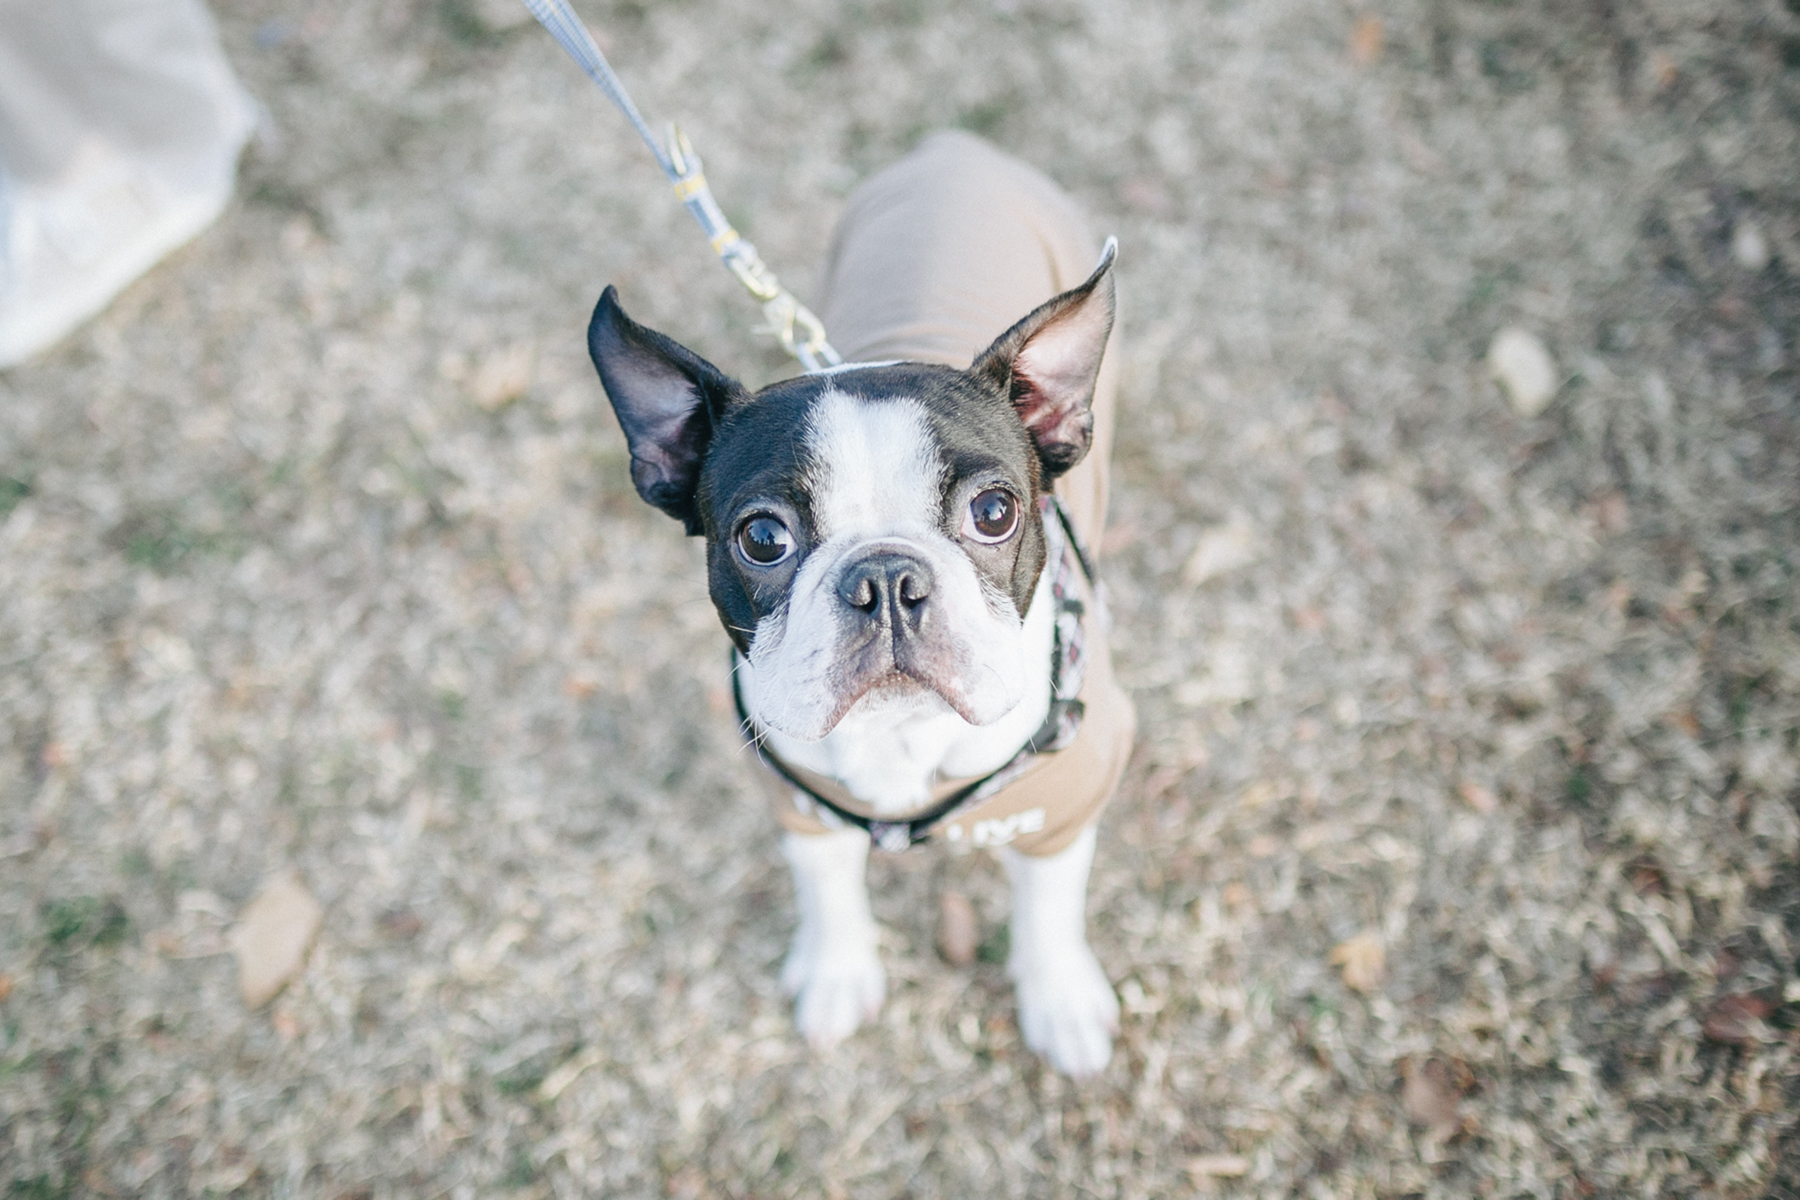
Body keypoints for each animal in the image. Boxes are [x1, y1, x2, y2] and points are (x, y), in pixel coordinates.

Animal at [583, 134, 1130, 1079]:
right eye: (763, 538)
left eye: (996, 512)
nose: (885, 580)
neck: (899, 737)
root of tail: (955, 148)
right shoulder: (798, 805)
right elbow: (829, 890)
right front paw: (838, 973)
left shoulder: (1064, 807)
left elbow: (1049, 913)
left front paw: (1058, 1001)